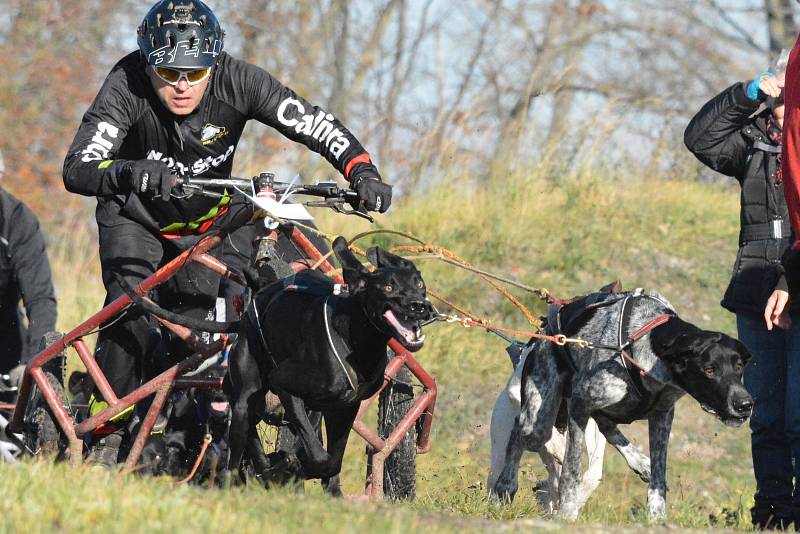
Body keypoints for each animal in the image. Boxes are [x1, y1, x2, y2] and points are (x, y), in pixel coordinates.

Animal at [228, 239, 432, 486]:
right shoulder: (285, 385)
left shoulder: (344, 407)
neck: (356, 340)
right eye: (388, 288)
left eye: (419, 283)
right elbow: (318, 457)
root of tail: (259, 291)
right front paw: (285, 468)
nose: (418, 305)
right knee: (241, 441)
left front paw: (289, 467)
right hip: (246, 396)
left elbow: (331, 462)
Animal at [484, 286, 752, 520]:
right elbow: (571, 470)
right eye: (709, 369)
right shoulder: (580, 404)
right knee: (520, 432)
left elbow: (658, 474)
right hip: (537, 422)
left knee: (607, 428)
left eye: (739, 366)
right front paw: (567, 511)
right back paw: (506, 485)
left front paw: (656, 516)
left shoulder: (662, 416)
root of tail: (544, 331)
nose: (745, 404)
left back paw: (638, 461)